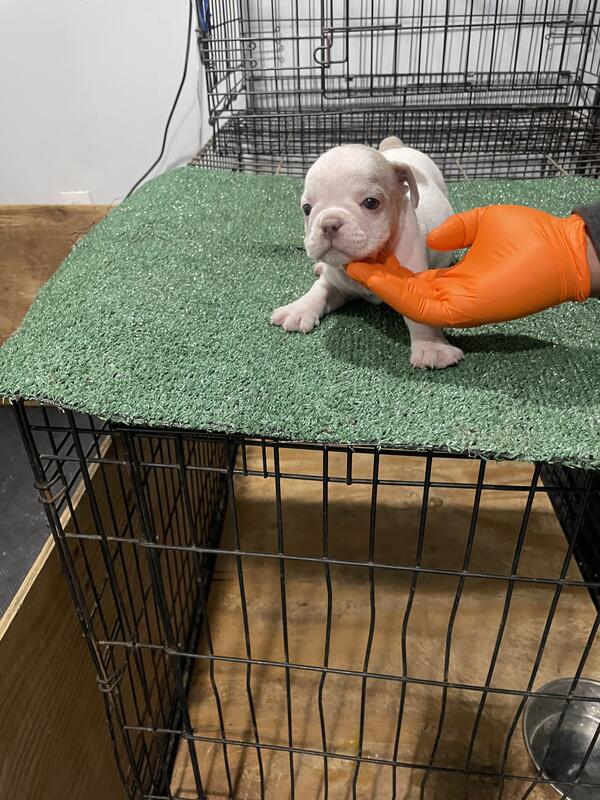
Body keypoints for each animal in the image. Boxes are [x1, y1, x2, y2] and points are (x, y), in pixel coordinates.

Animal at [271, 137, 464, 369]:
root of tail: (395, 145)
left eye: (371, 203)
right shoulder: (335, 282)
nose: (328, 224)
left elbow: (420, 315)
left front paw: (433, 347)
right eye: (307, 209)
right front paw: (299, 309)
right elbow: (318, 290)